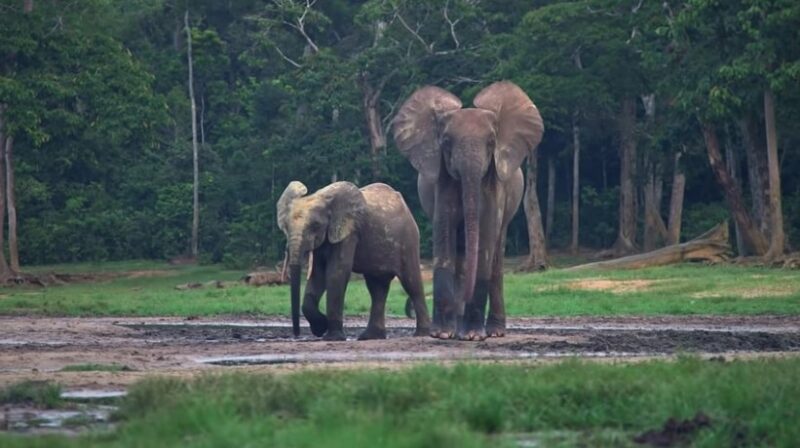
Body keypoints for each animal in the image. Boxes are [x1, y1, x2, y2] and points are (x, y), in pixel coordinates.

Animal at [276, 178, 432, 340]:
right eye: (285, 226)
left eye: (315, 225)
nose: (296, 335)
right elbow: (318, 275)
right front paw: (320, 328)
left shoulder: (349, 231)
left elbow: (336, 273)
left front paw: (332, 337)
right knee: (377, 288)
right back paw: (370, 336)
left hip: (408, 239)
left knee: (411, 283)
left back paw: (421, 334)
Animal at [392, 80, 544, 340]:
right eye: (445, 142)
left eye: (492, 142)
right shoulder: (442, 179)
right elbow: (445, 235)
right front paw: (442, 334)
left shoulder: (494, 182)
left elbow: (485, 238)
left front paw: (473, 336)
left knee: (496, 259)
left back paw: (493, 331)